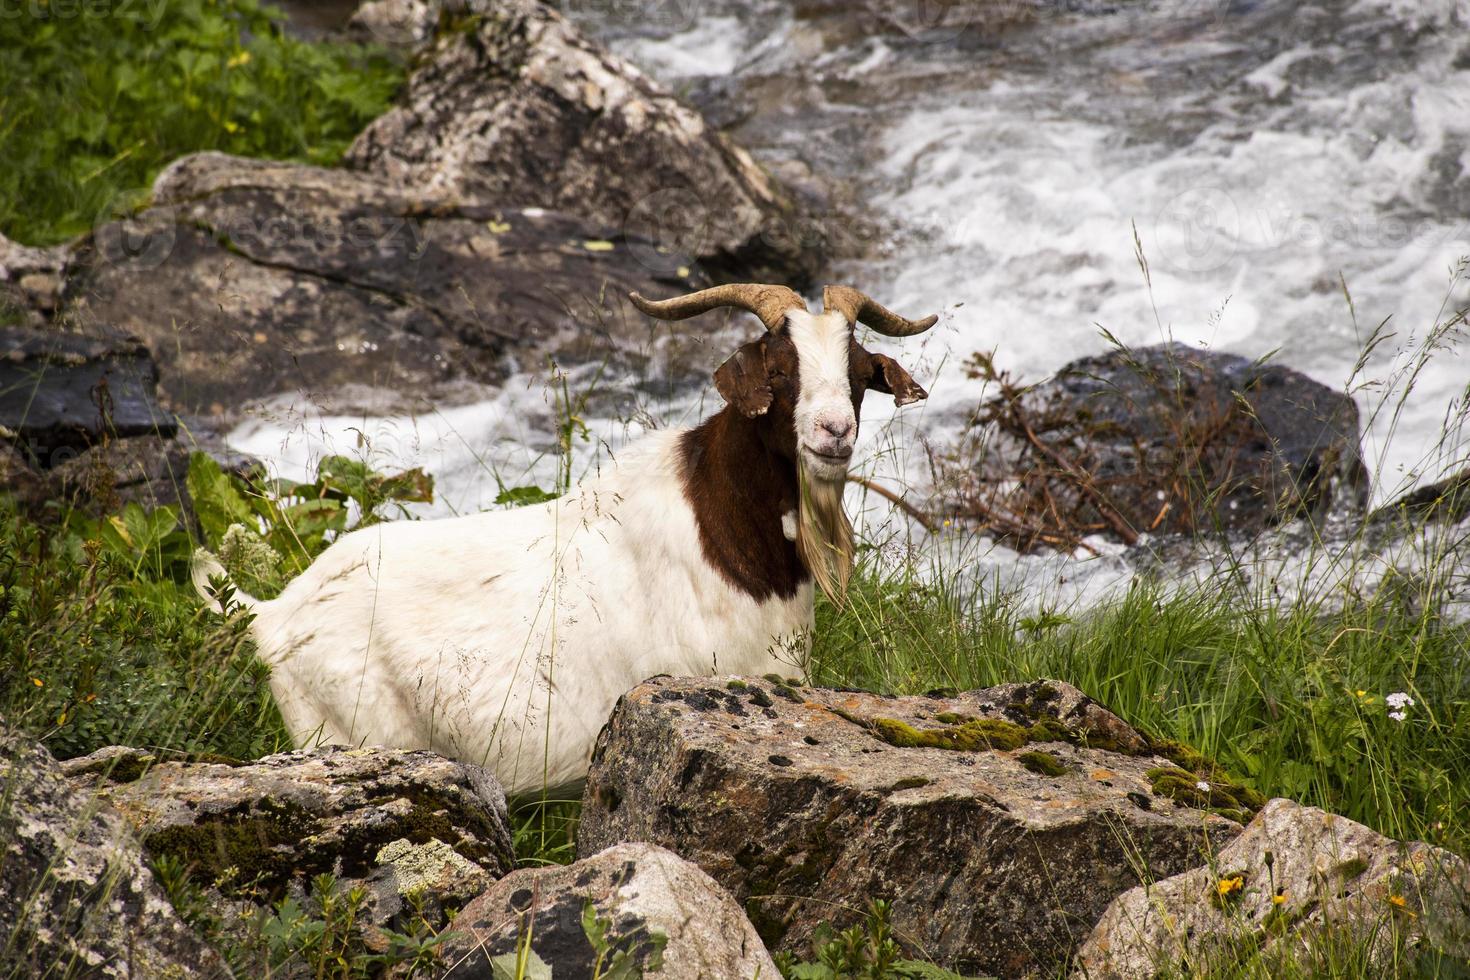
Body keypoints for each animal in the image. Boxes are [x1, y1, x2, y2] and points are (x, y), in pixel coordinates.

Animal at [192, 285, 929, 799]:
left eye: (859, 374)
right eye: (778, 372)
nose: (834, 433)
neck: (722, 532)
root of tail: (271, 614)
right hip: (350, 732)